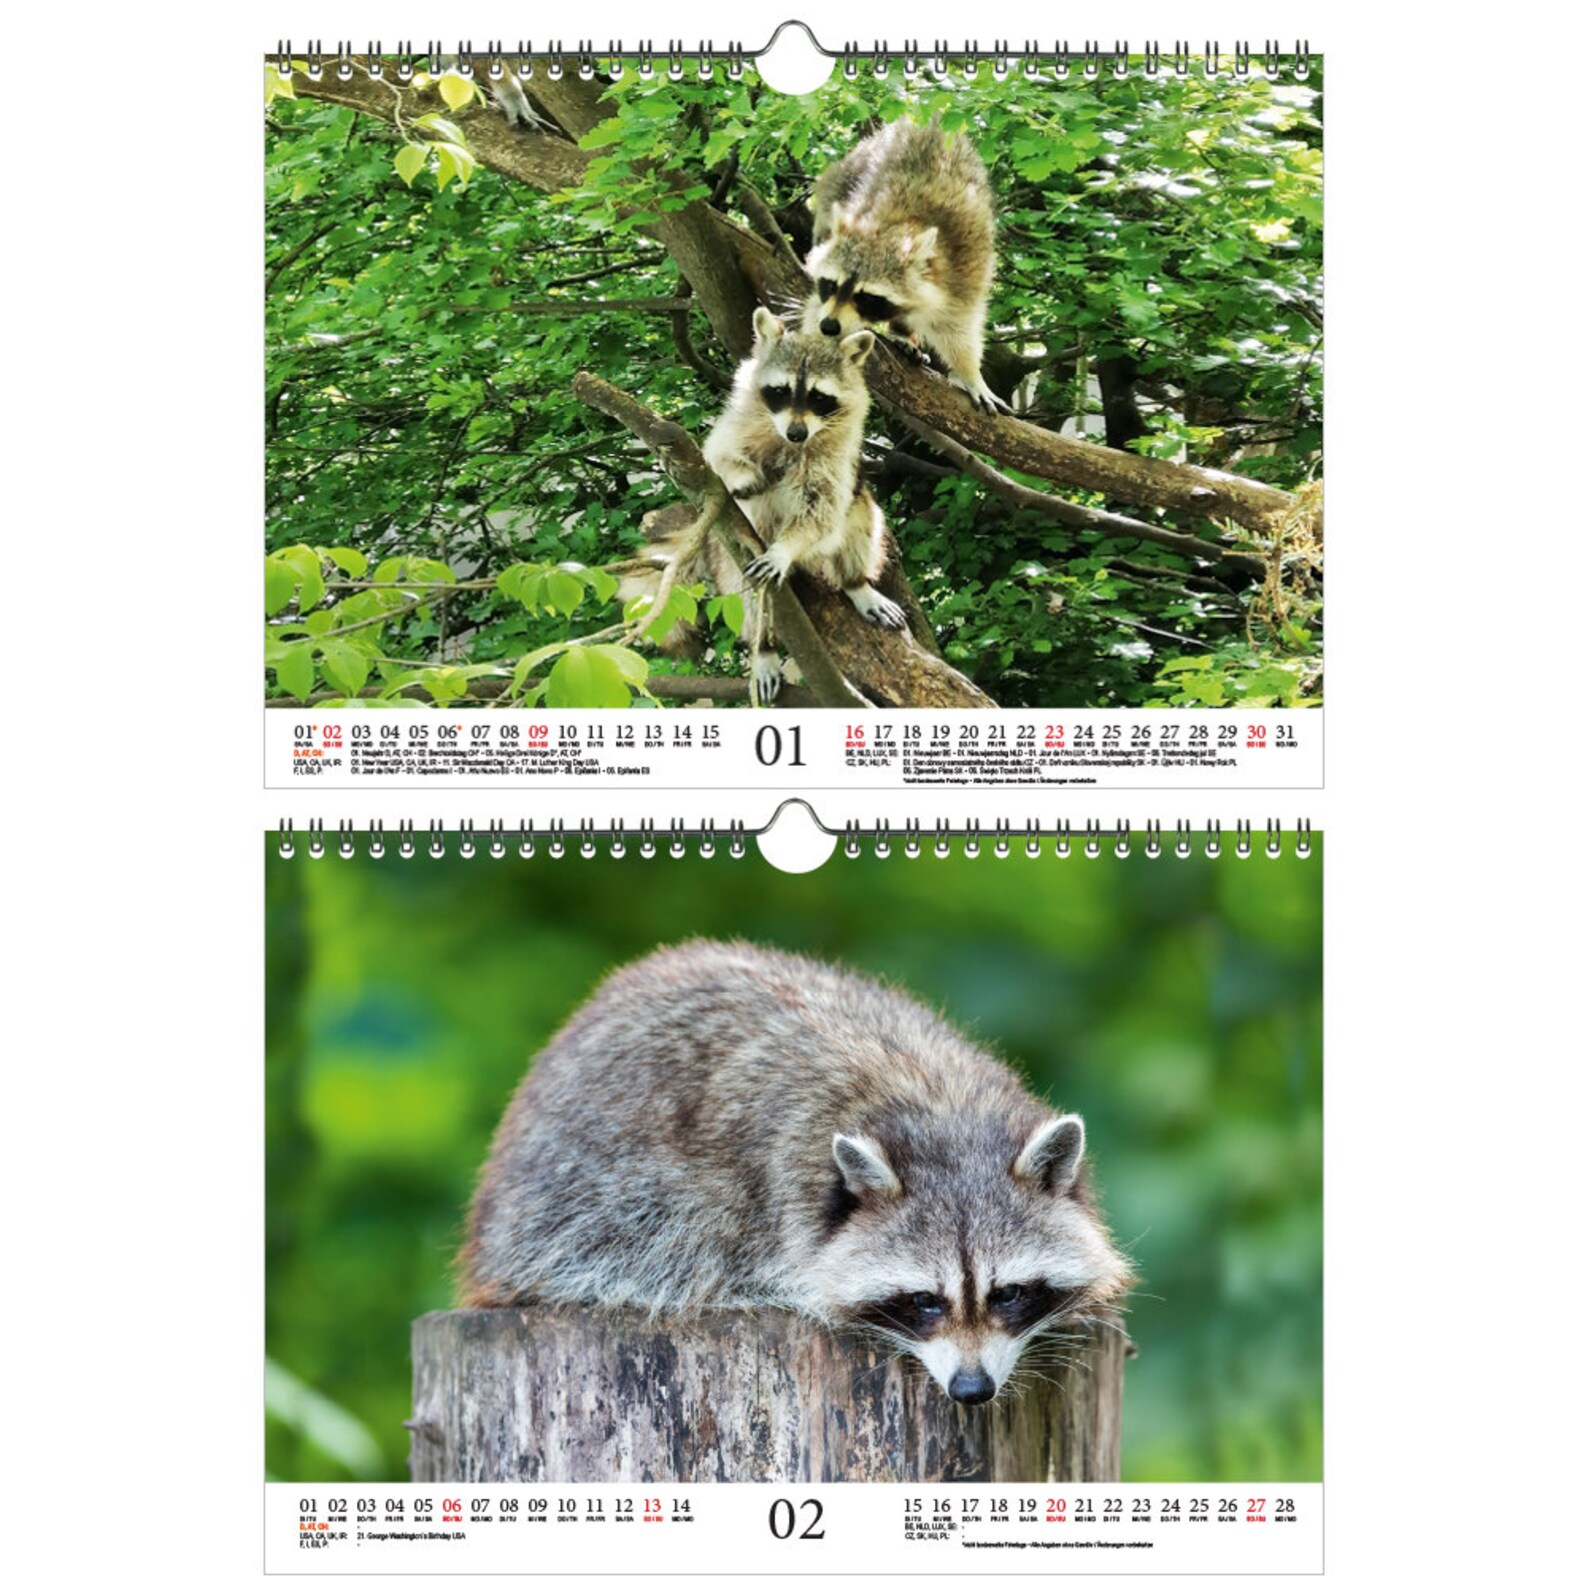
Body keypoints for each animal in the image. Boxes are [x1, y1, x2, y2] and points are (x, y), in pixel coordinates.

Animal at [460, 941, 1133, 1405]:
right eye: (924, 1301)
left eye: (1009, 1294)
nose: (972, 1390)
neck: (943, 1111)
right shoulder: (771, 1194)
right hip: (580, 1196)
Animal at [803, 119, 1008, 414]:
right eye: (831, 285)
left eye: (867, 298)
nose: (829, 326)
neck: (897, 226)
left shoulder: (967, 266)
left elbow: (958, 326)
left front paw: (969, 372)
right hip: (838, 183)